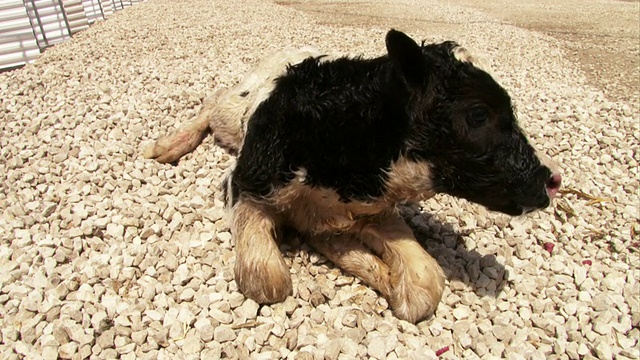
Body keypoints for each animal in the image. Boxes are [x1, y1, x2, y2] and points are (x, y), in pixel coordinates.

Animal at [145, 30, 560, 324]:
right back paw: (167, 145)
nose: (552, 179)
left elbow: (425, 281)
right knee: (214, 100)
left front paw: (387, 281)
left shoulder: (364, 211)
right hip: (234, 114)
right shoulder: (244, 182)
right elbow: (267, 280)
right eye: (478, 113)